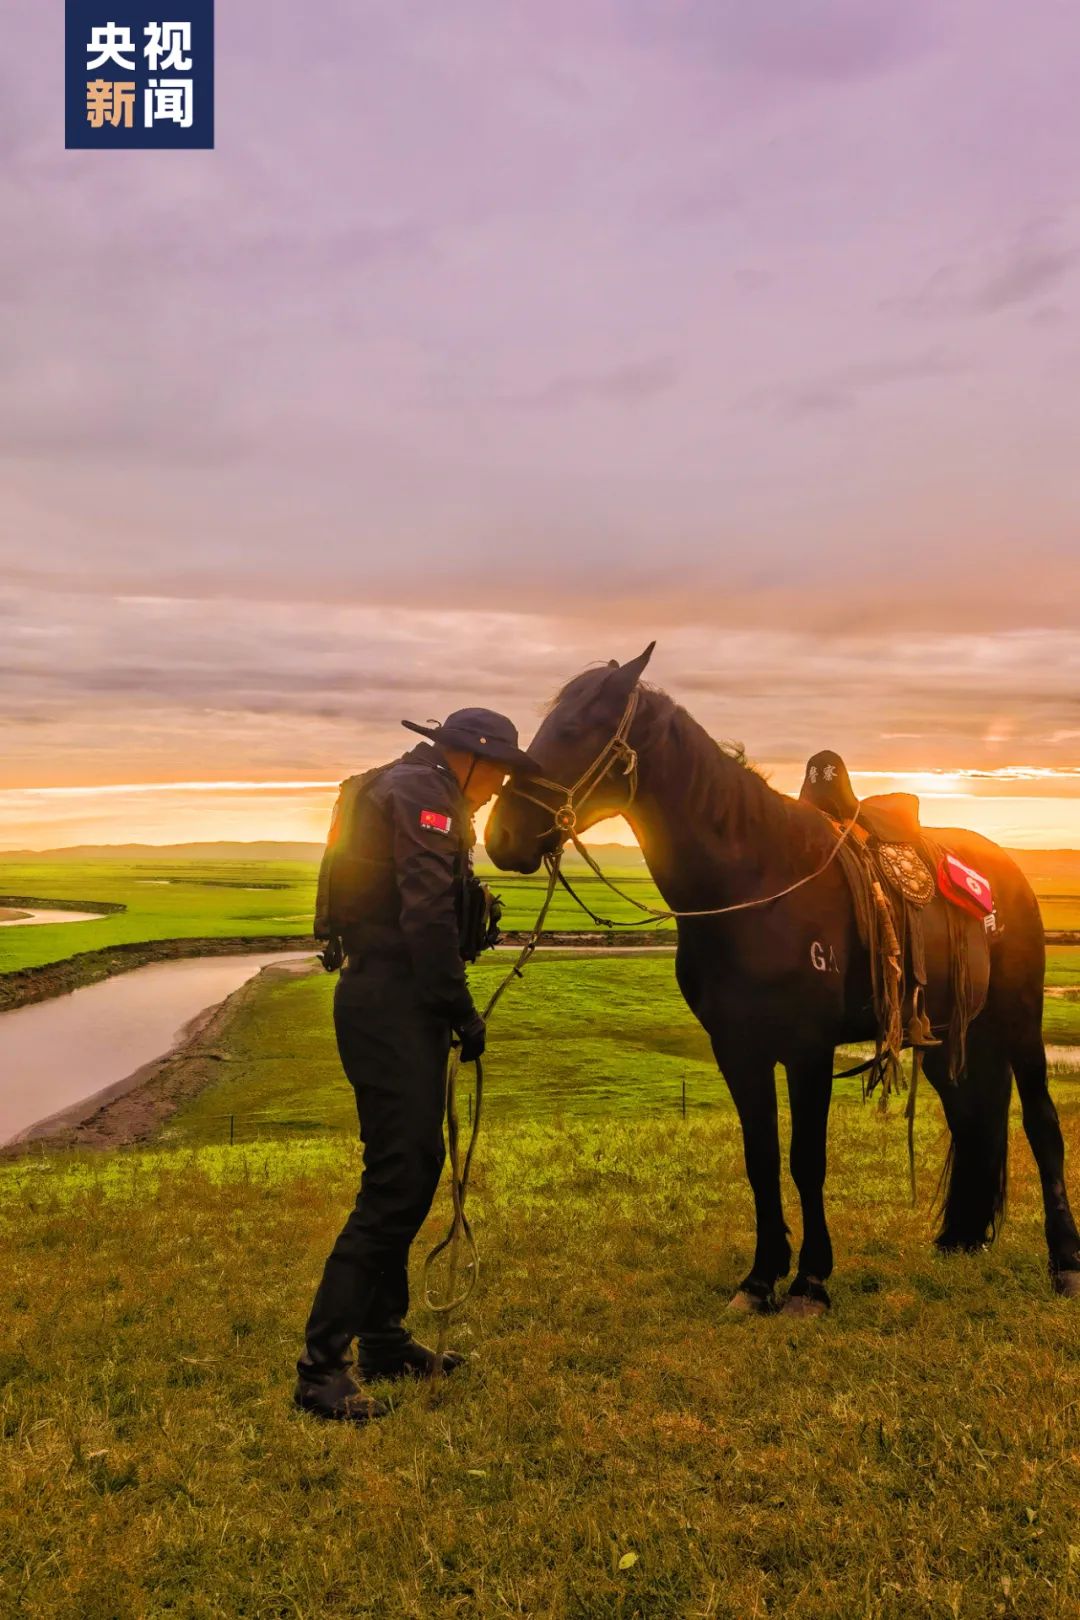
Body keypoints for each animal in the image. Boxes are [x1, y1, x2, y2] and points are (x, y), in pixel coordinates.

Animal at [488, 644, 1080, 1315]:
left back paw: (1064, 1263)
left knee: (1042, 1125)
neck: (757, 885)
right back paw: (961, 1239)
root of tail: (1005, 869)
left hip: (1020, 1021)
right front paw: (759, 1278)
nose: (499, 837)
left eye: (573, 729)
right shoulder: (737, 1049)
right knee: (969, 1115)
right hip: (951, 1034)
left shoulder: (806, 1049)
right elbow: (762, 1159)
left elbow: (806, 1160)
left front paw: (810, 1282)